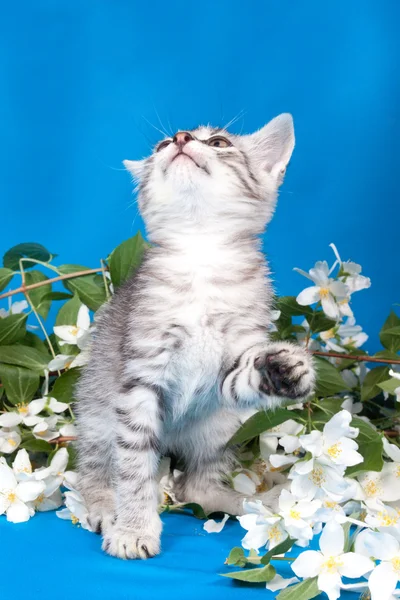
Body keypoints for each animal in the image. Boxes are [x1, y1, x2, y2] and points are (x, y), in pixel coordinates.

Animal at [75, 115, 316, 560]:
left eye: (218, 142)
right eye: (160, 145)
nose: (181, 138)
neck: (202, 254)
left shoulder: (231, 364)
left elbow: (241, 377)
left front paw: (286, 369)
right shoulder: (140, 377)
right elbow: (133, 467)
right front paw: (133, 528)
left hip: (224, 426)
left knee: (196, 488)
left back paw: (250, 505)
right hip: (98, 413)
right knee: (95, 468)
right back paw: (103, 506)